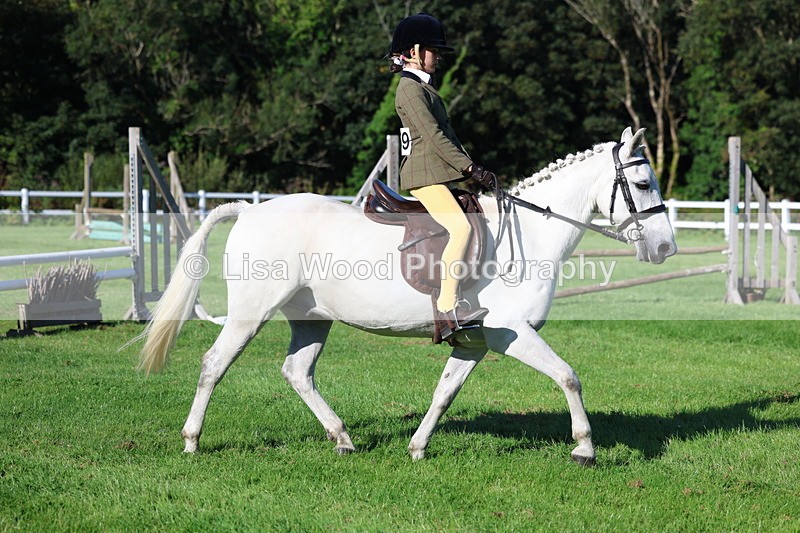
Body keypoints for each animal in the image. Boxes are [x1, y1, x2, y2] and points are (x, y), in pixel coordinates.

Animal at [137, 127, 677, 466]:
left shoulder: (475, 340)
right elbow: (568, 377)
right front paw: (584, 449)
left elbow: (444, 392)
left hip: (312, 318)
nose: (666, 248)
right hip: (250, 314)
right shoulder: (512, 334)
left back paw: (343, 439)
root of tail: (250, 211)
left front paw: (418, 447)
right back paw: (192, 442)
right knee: (214, 364)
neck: (530, 234)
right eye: (642, 182)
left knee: (297, 371)